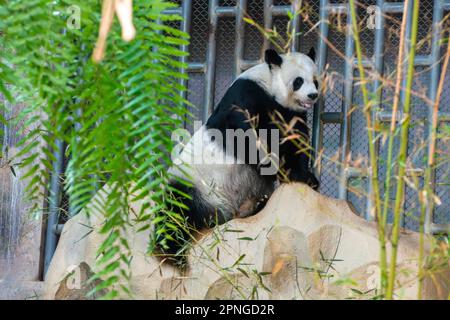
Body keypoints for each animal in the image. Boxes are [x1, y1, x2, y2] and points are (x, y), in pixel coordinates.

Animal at [157, 48, 320, 264]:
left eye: (316, 80)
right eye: (298, 81)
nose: (313, 95)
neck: (269, 86)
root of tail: (220, 214)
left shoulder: (288, 114)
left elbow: (295, 141)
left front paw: (305, 177)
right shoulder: (246, 95)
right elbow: (242, 137)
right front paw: (279, 171)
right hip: (191, 182)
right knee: (175, 213)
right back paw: (170, 251)